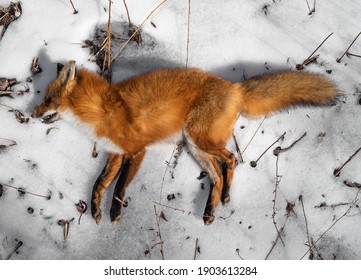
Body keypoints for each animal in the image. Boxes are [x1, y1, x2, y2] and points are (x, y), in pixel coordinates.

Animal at [31, 61, 338, 225]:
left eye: (47, 99)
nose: (31, 115)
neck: (103, 111)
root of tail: (234, 88)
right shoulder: (115, 154)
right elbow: (98, 184)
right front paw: (96, 210)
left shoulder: (136, 151)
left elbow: (118, 187)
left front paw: (114, 213)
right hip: (195, 147)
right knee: (216, 175)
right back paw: (211, 209)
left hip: (198, 139)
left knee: (231, 159)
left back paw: (225, 197)